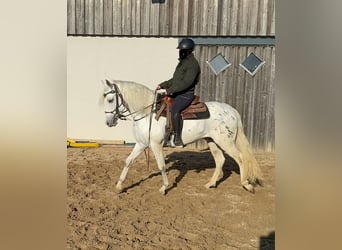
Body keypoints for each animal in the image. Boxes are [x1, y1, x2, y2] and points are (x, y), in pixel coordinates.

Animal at [100, 79, 264, 194]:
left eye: (110, 100)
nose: (108, 122)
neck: (147, 114)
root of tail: (231, 110)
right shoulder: (141, 144)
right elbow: (128, 161)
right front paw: (119, 186)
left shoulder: (155, 144)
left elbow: (161, 165)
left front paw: (164, 187)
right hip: (212, 141)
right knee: (220, 160)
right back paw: (210, 184)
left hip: (226, 142)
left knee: (240, 158)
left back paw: (246, 184)